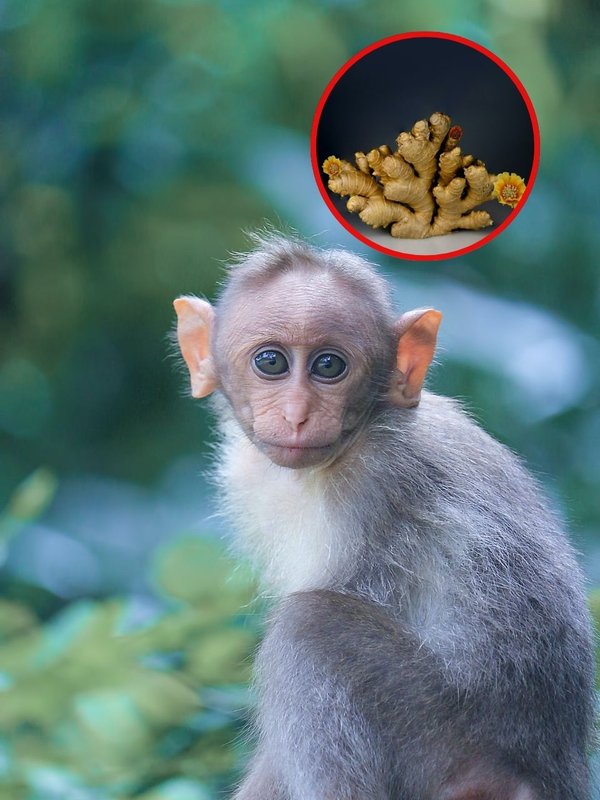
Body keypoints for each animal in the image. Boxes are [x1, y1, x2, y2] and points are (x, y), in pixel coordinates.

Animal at [173, 233, 595, 800]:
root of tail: (550, 775)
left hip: (452, 748)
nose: (297, 414)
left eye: (330, 366)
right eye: (271, 362)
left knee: (310, 626)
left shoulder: (376, 489)